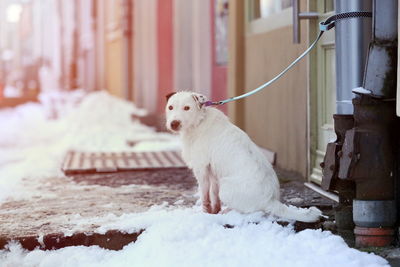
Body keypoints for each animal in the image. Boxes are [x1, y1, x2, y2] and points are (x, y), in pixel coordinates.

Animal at [166, 91, 322, 223]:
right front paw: (214, 211)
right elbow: (214, 195)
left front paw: (205, 213)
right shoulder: (213, 172)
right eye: (170, 107)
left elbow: (205, 196)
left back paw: (229, 212)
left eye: (187, 108)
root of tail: (271, 201)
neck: (199, 121)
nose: (174, 123)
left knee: (249, 212)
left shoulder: (201, 169)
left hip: (226, 187)